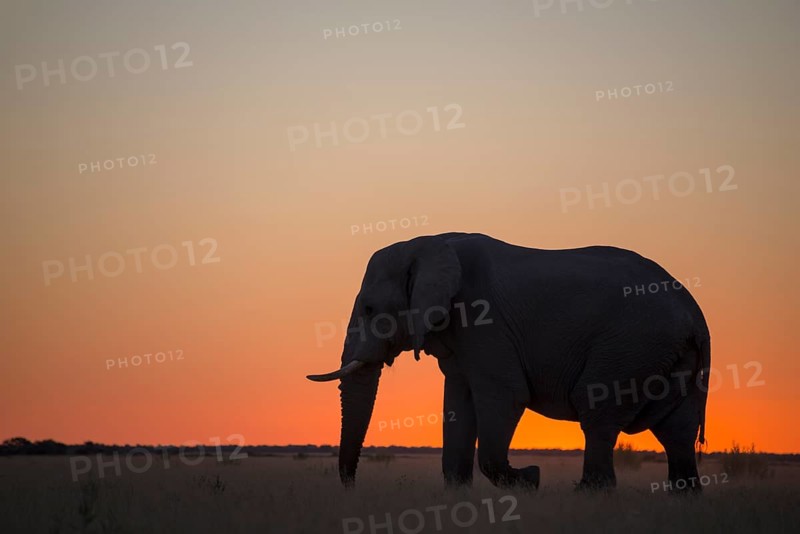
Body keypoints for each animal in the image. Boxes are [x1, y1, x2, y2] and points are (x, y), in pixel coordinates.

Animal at [307, 233, 710, 491]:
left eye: (370, 309)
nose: (351, 486)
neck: (428, 243)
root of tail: (694, 313)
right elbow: (458, 404)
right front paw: (459, 497)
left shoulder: (485, 320)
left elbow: (505, 396)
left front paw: (530, 479)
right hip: (667, 354)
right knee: (677, 427)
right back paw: (683, 496)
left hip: (630, 344)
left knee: (598, 411)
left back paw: (590, 492)